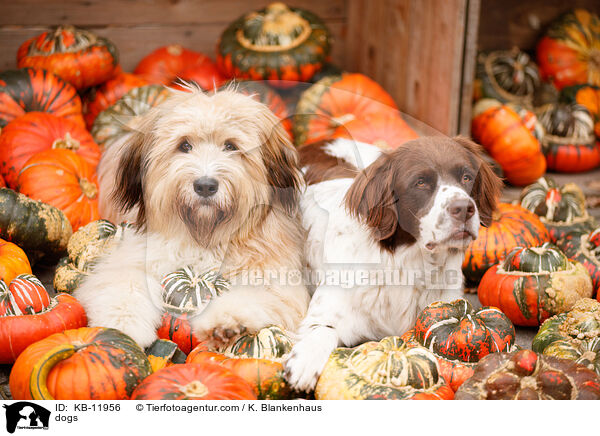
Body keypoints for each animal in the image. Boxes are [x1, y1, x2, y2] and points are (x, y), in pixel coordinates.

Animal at [75, 87, 310, 348]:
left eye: (231, 146)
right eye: (185, 145)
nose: (205, 186)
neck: (204, 234)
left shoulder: (279, 281)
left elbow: (255, 295)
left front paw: (225, 320)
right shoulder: (131, 254)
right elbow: (124, 282)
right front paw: (123, 323)